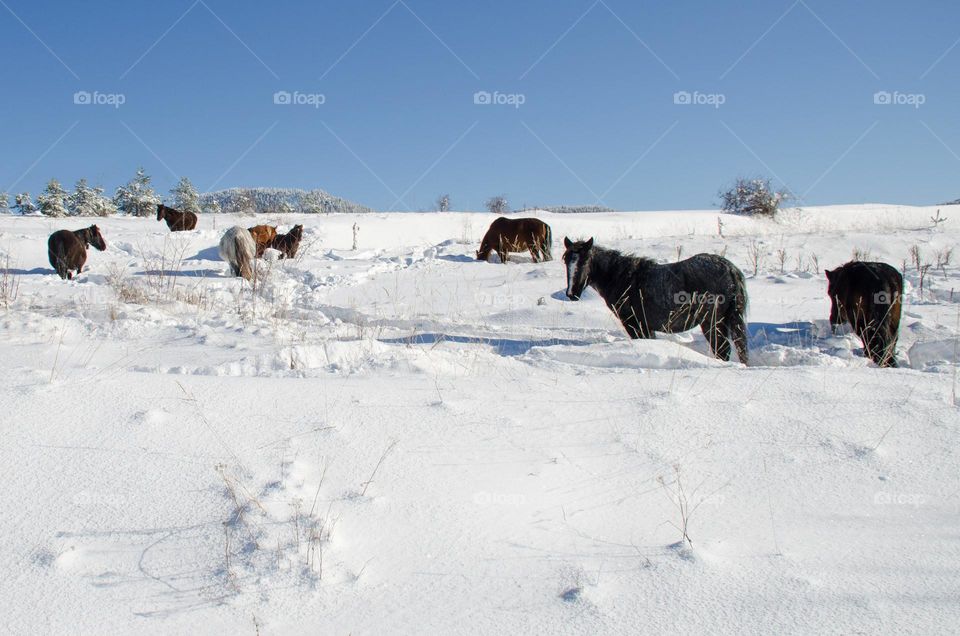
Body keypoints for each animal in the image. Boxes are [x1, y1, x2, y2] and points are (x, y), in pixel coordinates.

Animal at [564, 236, 752, 362]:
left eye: (585, 261)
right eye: (566, 261)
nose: (571, 293)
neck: (622, 277)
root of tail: (729, 268)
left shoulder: (635, 324)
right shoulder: (646, 327)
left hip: (712, 322)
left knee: (722, 350)